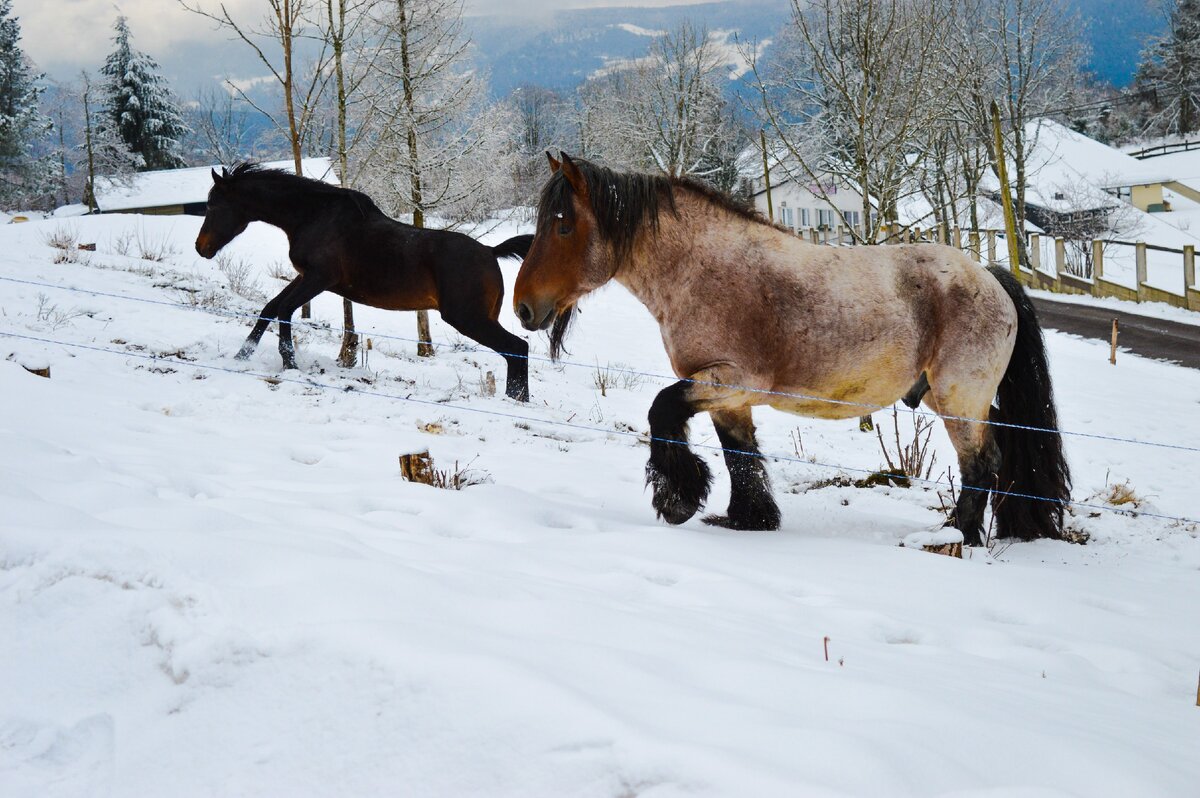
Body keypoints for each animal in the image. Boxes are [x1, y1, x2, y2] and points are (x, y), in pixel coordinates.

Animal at [194, 163, 532, 398]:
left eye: (213, 205)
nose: (201, 247)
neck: (313, 216)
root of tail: (490, 251)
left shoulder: (318, 278)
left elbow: (285, 310)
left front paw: (290, 364)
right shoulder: (305, 277)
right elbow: (270, 308)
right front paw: (242, 355)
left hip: (468, 318)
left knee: (518, 348)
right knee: (516, 352)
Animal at [511, 153, 1075, 544]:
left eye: (563, 224)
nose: (522, 308)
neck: (700, 271)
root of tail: (991, 278)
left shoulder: (731, 380)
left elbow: (662, 410)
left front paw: (677, 500)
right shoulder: (728, 396)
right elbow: (740, 456)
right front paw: (747, 519)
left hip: (960, 399)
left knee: (981, 463)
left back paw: (953, 536)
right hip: (950, 396)